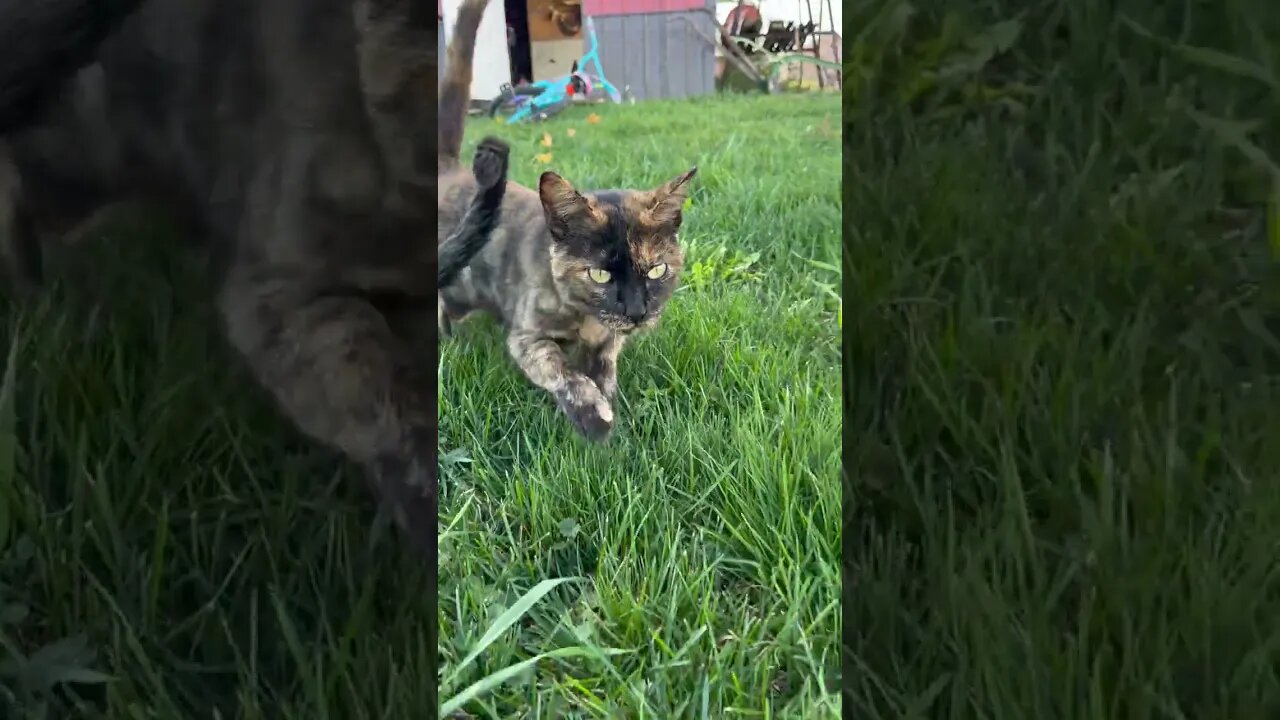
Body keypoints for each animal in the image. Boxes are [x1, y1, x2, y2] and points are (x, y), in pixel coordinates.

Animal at [440, 0, 701, 440]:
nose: (636, 312)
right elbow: (561, 370)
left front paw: (608, 405)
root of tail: (450, 170)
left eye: (657, 271)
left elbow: (605, 370)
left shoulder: (609, 341)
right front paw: (591, 415)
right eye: (599, 274)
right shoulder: (527, 337)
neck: (588, 320)